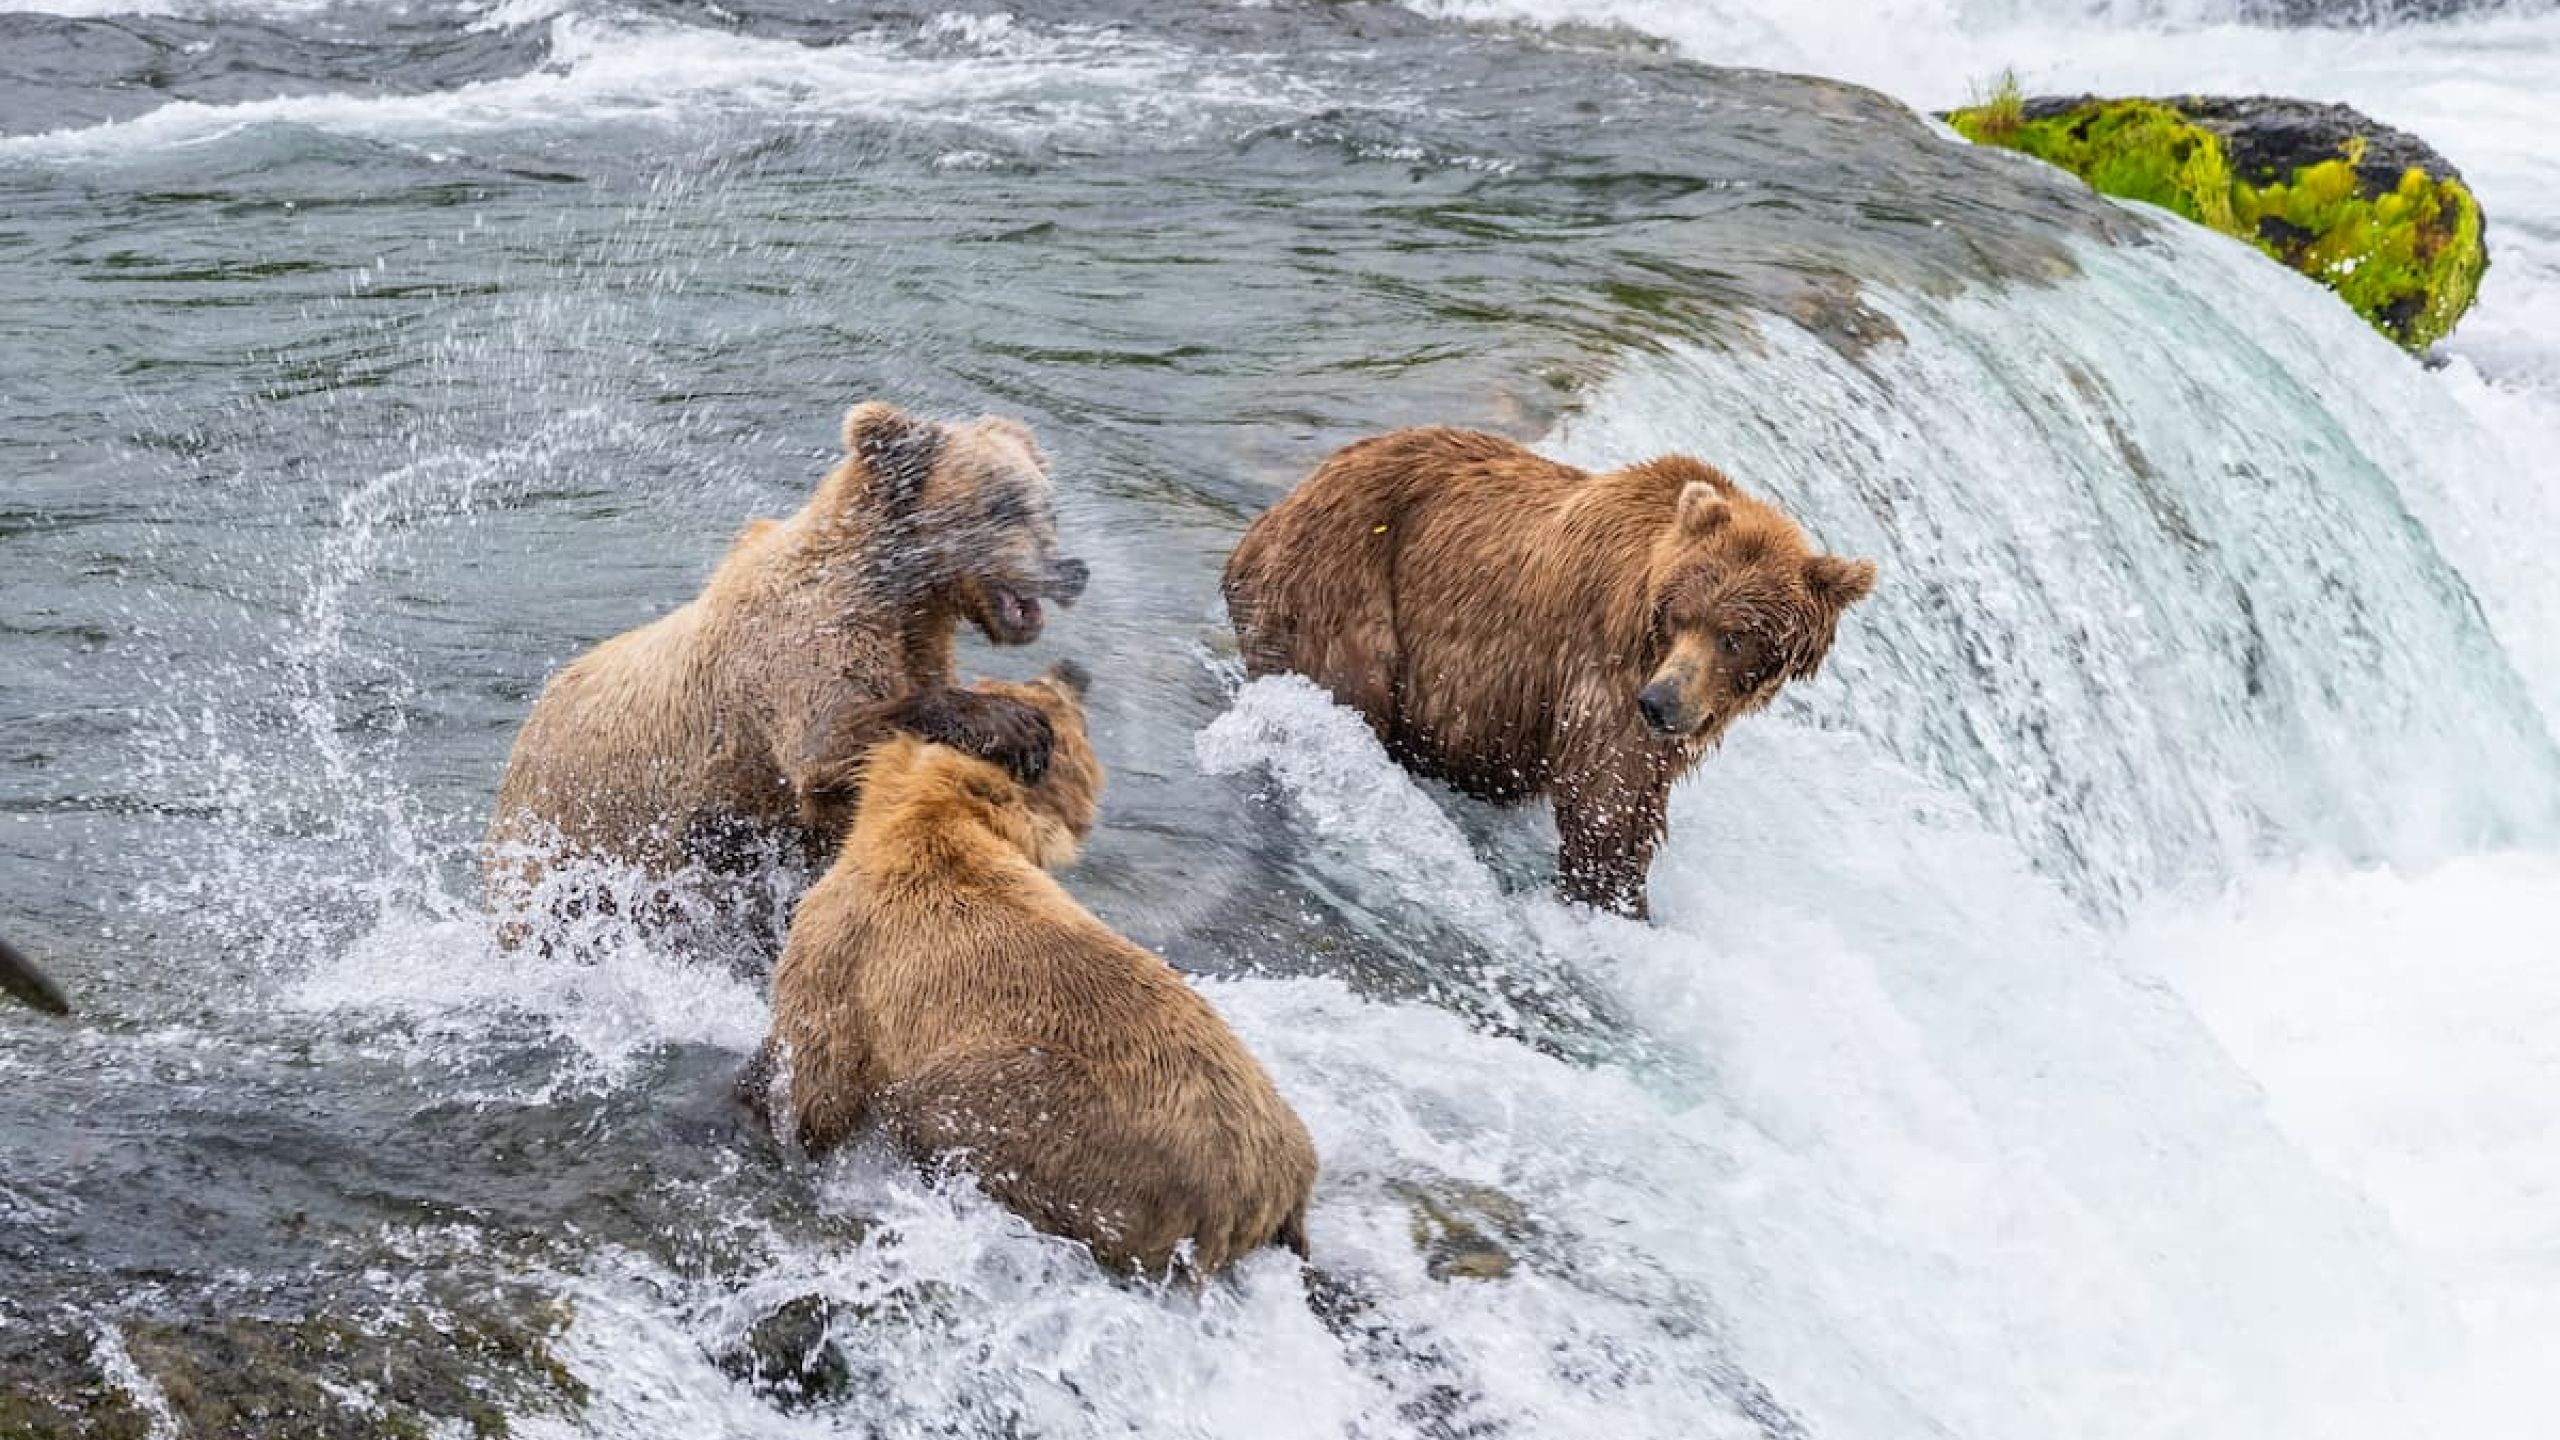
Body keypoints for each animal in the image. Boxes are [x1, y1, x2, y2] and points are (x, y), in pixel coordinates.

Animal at [483, 397, 1085, 948]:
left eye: (1048, 507)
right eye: (1004, 505)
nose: (1072, 568)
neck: (898, 593)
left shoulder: (912, 645)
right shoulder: (798, 645)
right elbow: (830, 741)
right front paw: (1019, 726)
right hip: (577, 841)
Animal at [747, 666, 1320, 1276]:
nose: (1072, 671)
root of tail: (1274, 1187)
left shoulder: (849, 954)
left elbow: (816, 1083)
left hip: (1080, 1131)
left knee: (937, 1110)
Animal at [1218, 425, 1884, 917]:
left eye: (1735, 637)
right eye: (1680, 616)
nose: (1661, 703)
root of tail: (1270, 516)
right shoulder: (1604, 673)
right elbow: (1606, 804)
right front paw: (1615, 904)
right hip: (1343, 589)